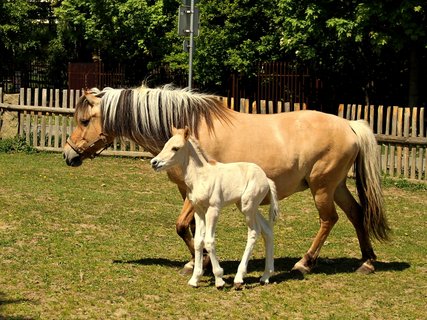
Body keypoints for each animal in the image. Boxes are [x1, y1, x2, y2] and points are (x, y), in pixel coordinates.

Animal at [152, 127, 280, 290]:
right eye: (165, 145)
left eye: (175, 148)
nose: (154, 163)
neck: (201, 177)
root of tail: (266, 179)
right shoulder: (199, 210)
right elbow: (198, 241)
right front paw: (194, 279)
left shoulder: (213, 209)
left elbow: (209, 240)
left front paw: (219, 279)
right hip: (246, 206)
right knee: (267, 230)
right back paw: (266, 276)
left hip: (248, 207)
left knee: (254, 232)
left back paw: (239, 279)